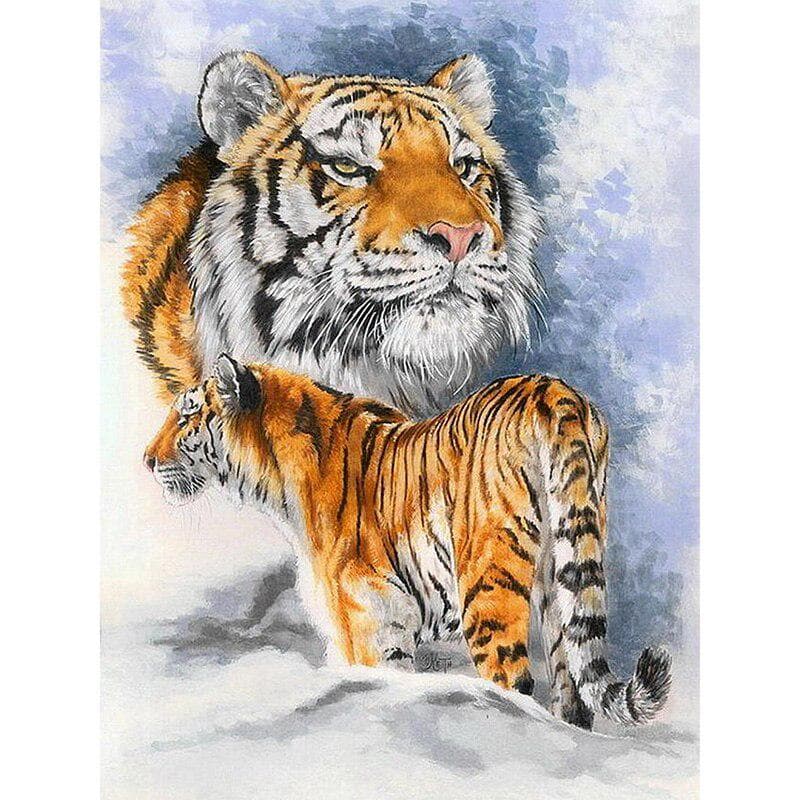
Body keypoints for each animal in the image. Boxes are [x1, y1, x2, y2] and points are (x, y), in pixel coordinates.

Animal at [144, 354, 671, 730]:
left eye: (186, 417)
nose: (146, 459)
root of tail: (556, 391)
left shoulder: (366, 626)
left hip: (487, 591)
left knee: (514, 684)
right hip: (564, 577)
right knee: (574, 693)